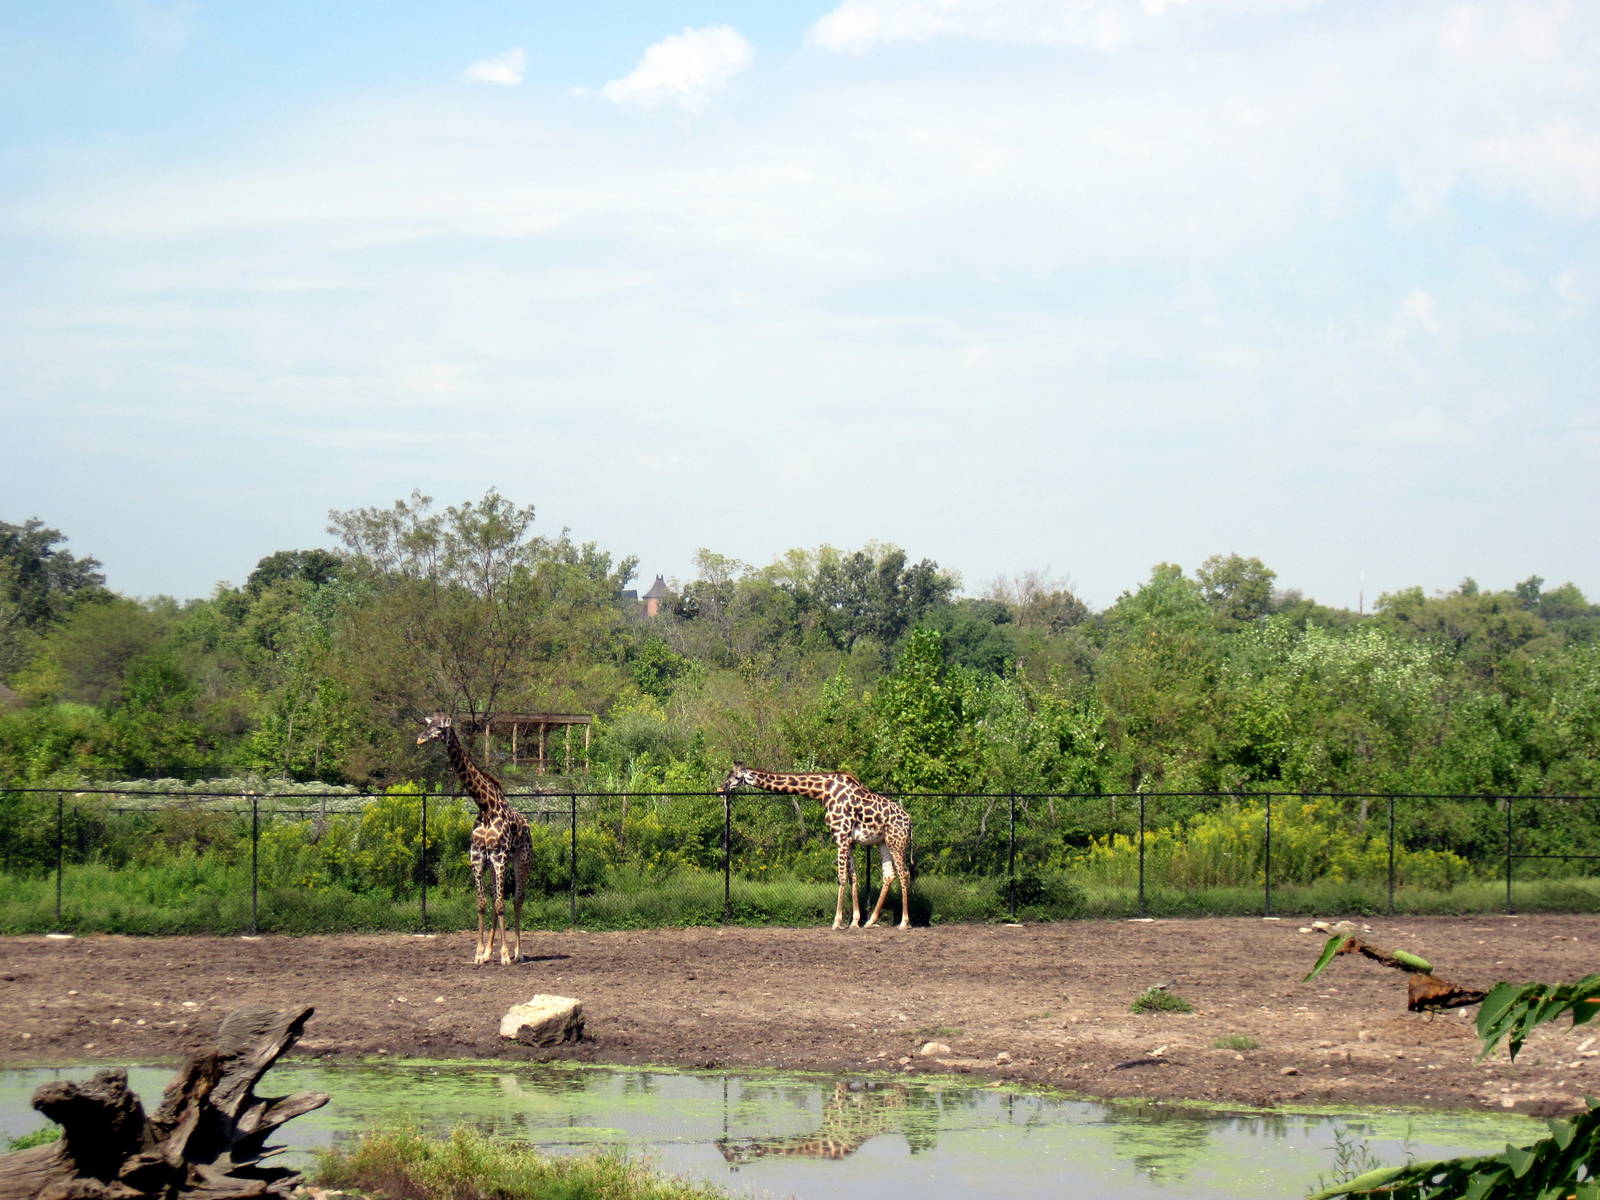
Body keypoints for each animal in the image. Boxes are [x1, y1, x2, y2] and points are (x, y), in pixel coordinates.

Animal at [417, 712, 533, 965]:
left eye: (440, 728)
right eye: (427, 725)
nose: (420, 739)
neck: (485, 806)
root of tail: (528, 825)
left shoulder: (499, 857)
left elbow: (501, 904)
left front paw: (505, 955)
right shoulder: (478, 857)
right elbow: (482, 904)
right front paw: (480, 953)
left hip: (521, 860)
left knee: (517, 899)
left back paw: (518, 953)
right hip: (494, 865)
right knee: (496, 899)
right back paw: (491, 952)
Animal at [719, 763, 913, 930]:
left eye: (736, 776)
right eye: (728, 773)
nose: (721, 789)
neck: (823, 791)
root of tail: (909, 821)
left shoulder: (841, 837)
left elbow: (841, 877)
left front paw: (836, 922)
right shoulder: (847, 840)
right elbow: (853, 877)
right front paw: (854, 922)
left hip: (897, 842)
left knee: (904, 873)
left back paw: (904, 922)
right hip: (883, 842)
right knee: (889, 875)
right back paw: (870, 921)